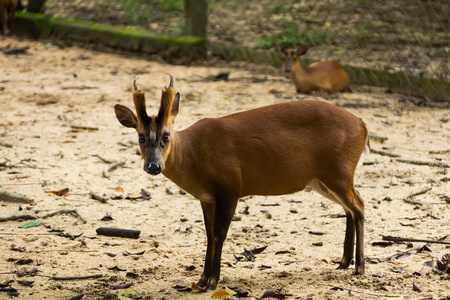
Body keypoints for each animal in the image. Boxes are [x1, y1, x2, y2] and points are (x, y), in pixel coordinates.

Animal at [115, 74, 370, 290]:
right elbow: (209, 235)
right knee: (349, 207)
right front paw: (202, 279)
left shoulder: (230, 188)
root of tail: (362, 125)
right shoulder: (207, 197)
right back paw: (344, 262)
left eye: (166, 136)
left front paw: (213, 282)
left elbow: (219, 234)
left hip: (338, 171)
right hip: (322, 180)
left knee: (359, 205)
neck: (195, 155)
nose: (153, 166)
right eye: (140, 136)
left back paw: (359, 267)